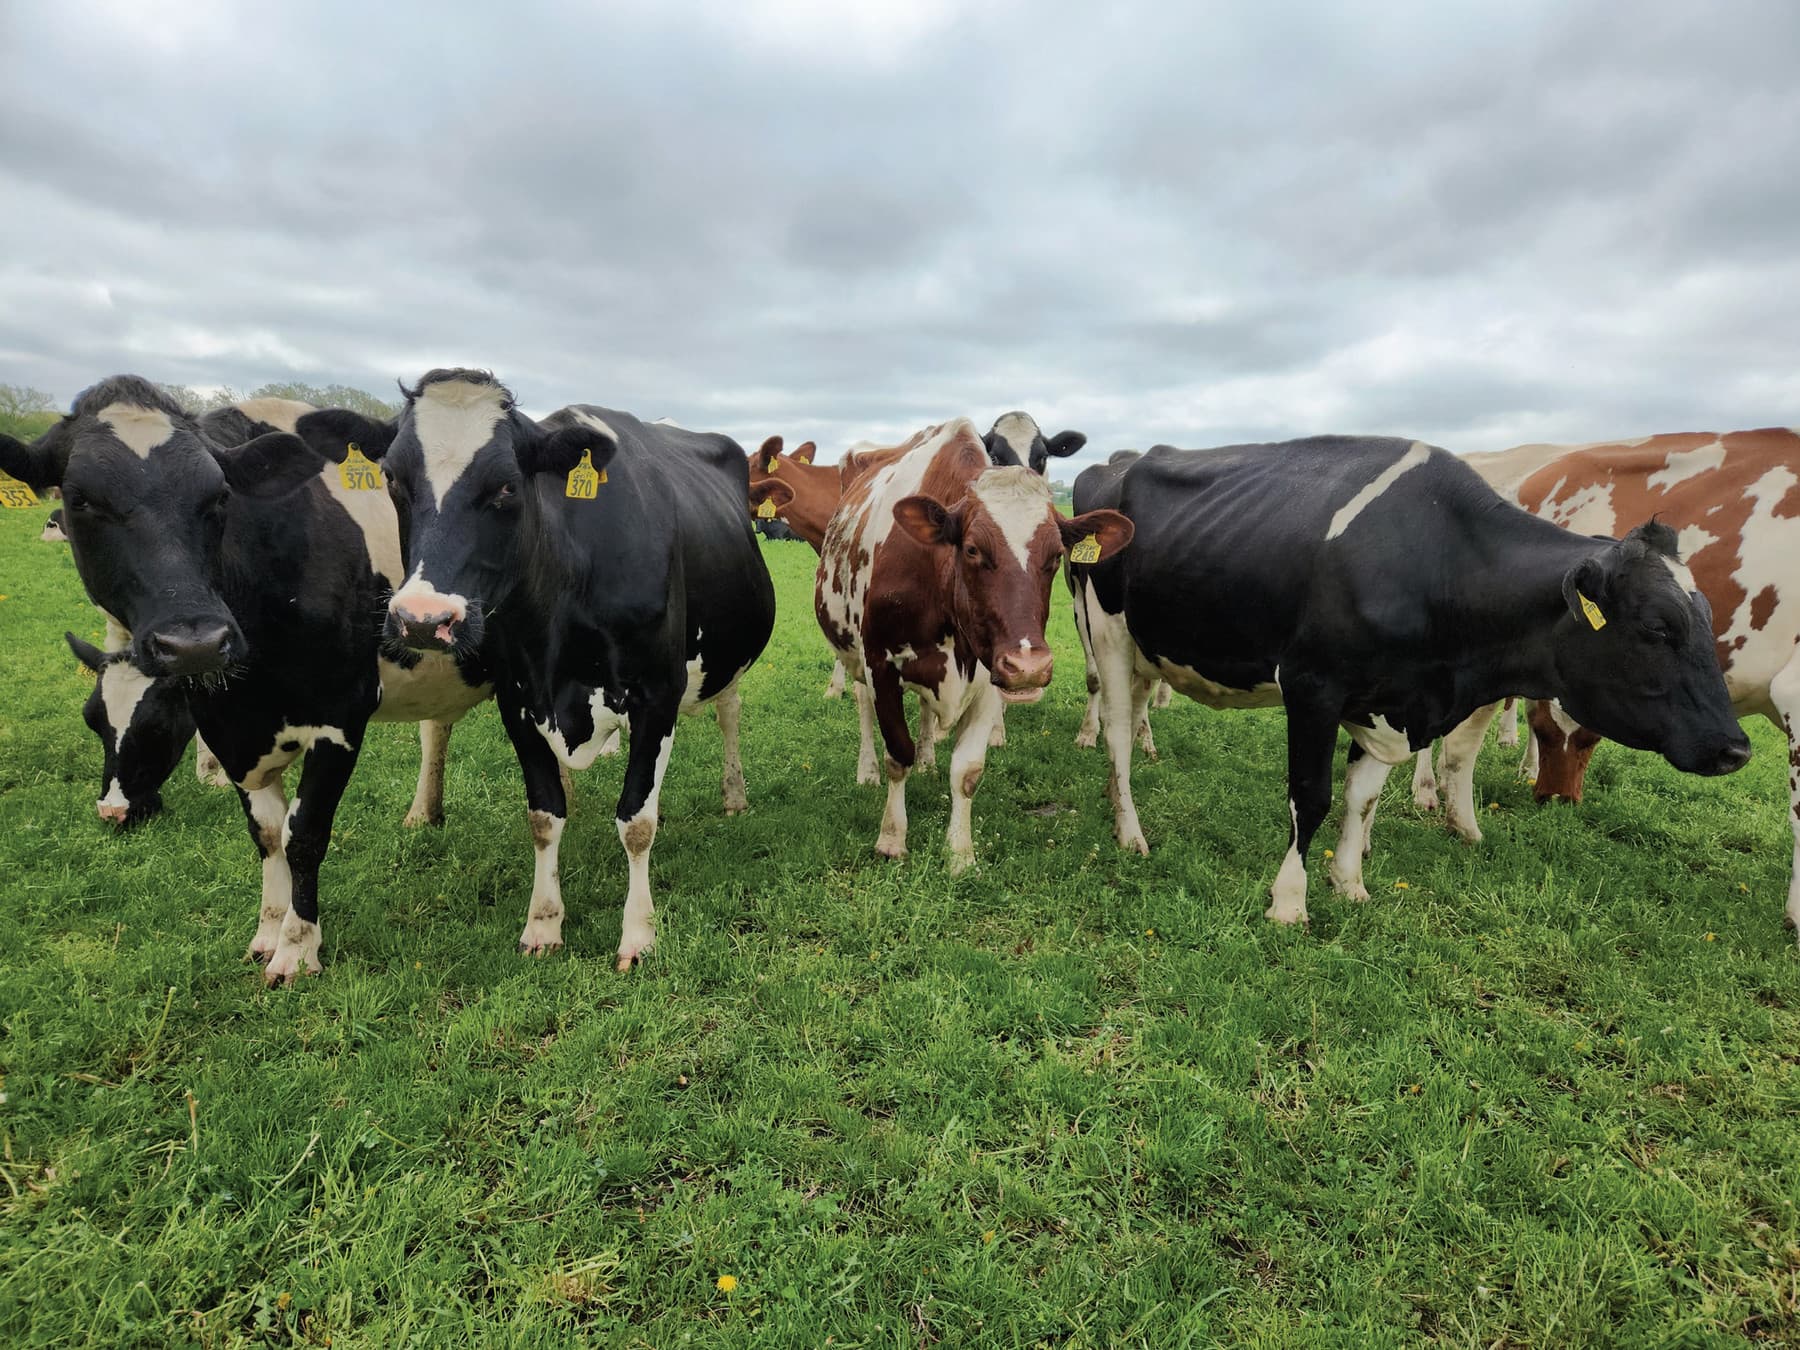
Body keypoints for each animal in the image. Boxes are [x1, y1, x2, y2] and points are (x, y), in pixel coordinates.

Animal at [0, 376, 490, 983]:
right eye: (79, 500)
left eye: (219, 498)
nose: (114, 810)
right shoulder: (227, 728)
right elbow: (267, 833)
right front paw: (267, 933)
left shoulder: (341, 718)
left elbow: (304, 835)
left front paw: (298, 950)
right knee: (435, 728)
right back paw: (423, 813)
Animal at [372, 369, 776, 971]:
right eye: (393, 479)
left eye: (507, 486)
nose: (423, 620)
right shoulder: (517, 699)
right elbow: (544, 816)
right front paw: (543, 923)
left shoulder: (658, 693)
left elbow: (637, 821)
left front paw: (638, 935)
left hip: (726, 657)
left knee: (729, 711)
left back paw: (734, 795)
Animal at [815, 418, 1132, 870]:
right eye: (971, 549)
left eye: (1056, 556)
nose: (1029, 667)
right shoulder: (881, 665)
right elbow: (897, 753)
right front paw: (892, 838)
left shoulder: (986, 678)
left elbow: (966, 771)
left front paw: (960, 854)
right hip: (853, 653)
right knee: (862, 707)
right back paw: (867, 769)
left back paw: (928, 759)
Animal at [1071, 436, 1751, 925]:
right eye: (1658, 628)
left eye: (1707, 615)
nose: (1736, 748)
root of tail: (1124, 460)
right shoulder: (1313, 686)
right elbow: (1312, 795)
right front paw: (1289, 902)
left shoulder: (1391, 702)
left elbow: (1362, 797)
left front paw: (1349, 883)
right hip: (1105, 633)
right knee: (1117, 734)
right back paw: (1131, 833)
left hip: (1148, 649)